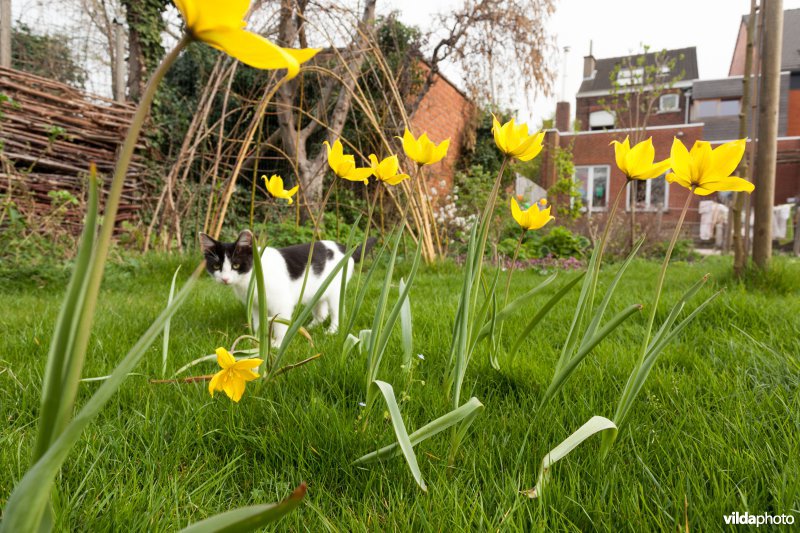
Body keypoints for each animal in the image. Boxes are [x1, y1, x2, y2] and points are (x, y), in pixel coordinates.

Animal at [200, 231, 376, 348]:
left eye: (236, 265)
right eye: (216, 266)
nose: (224, 279)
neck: (252, 276)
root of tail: (344, 247)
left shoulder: (281, 303)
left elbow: (279, 325)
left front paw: (277, 344)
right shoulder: (256, 305)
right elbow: (258, 323)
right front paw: (259, 339)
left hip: (335, 290)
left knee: (336, 312)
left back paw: (332, 331)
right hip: (316, 290)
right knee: (321, 312)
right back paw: (309, 327)